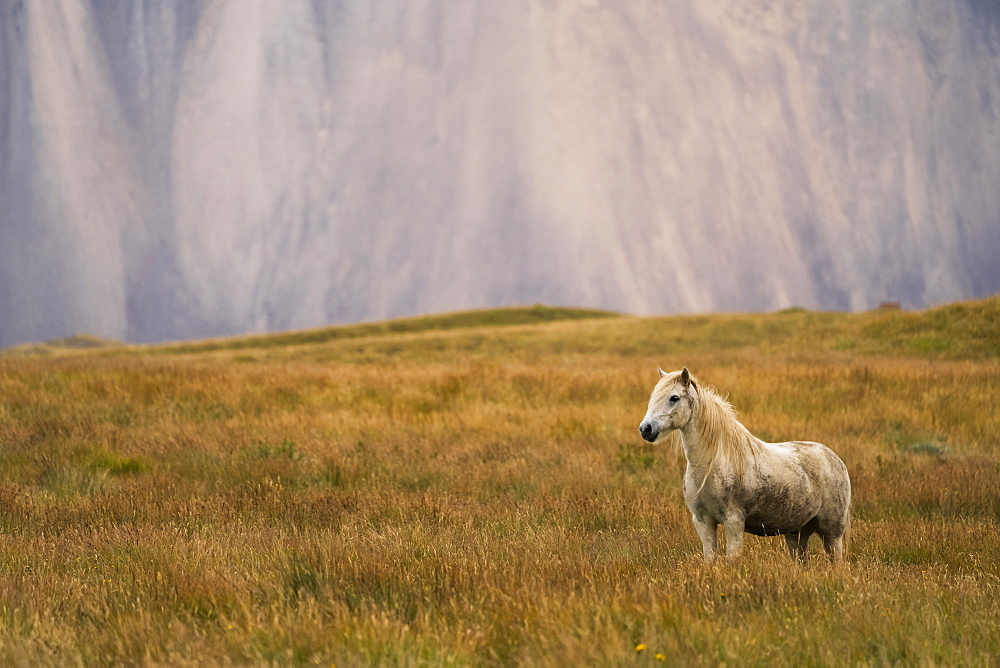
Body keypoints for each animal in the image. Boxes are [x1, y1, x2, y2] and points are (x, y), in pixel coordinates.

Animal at [640, 368, 852, 560]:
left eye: (674, 398)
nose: (645, 429)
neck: (710, 466)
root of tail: (834, 459)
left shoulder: (734, 522)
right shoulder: (703, 521)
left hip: (832, 533)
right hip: (797, 534)